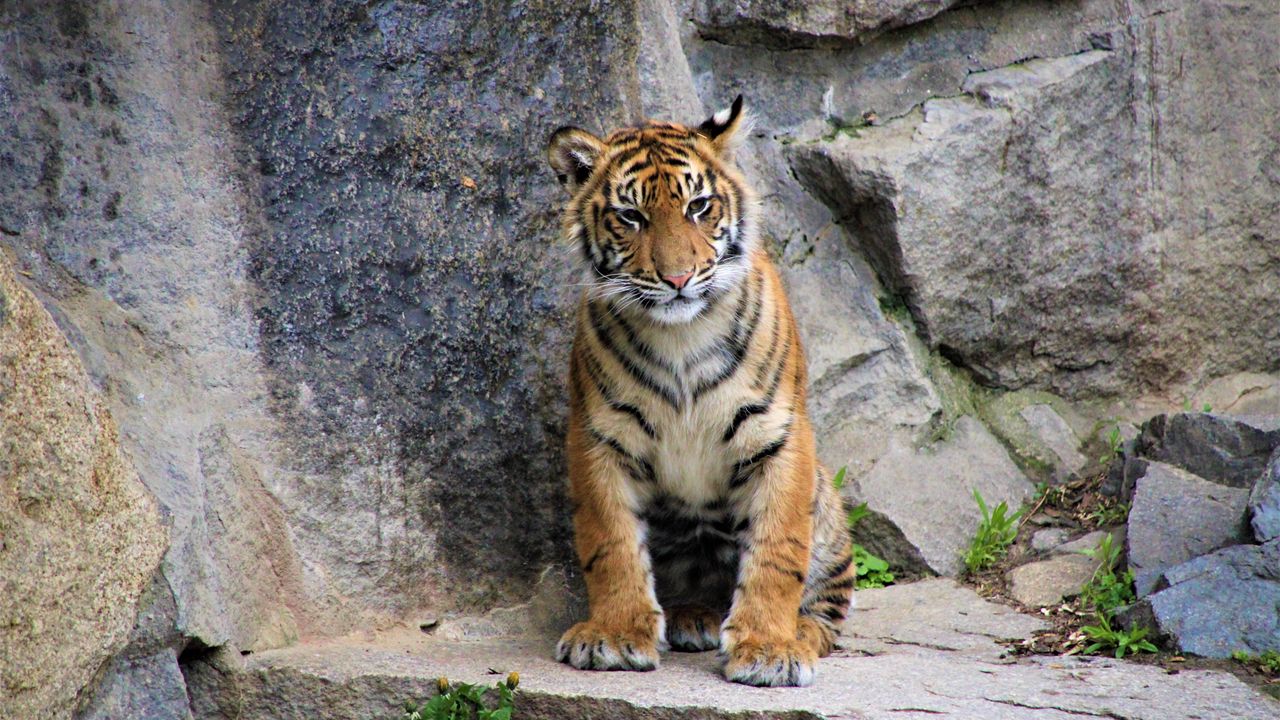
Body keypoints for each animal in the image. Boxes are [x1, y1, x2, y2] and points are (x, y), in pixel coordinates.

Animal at [545, 95, 855, 681]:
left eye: (698, 206)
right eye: (631, 216)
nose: (678, 279)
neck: (681, 335)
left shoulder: (780, 435)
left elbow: (778, 549)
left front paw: (769, 648)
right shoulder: (599, 439)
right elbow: (610, 543)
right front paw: (615, 635)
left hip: (827, 503)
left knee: (827, 611)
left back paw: (799, 633)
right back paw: (693, 617)